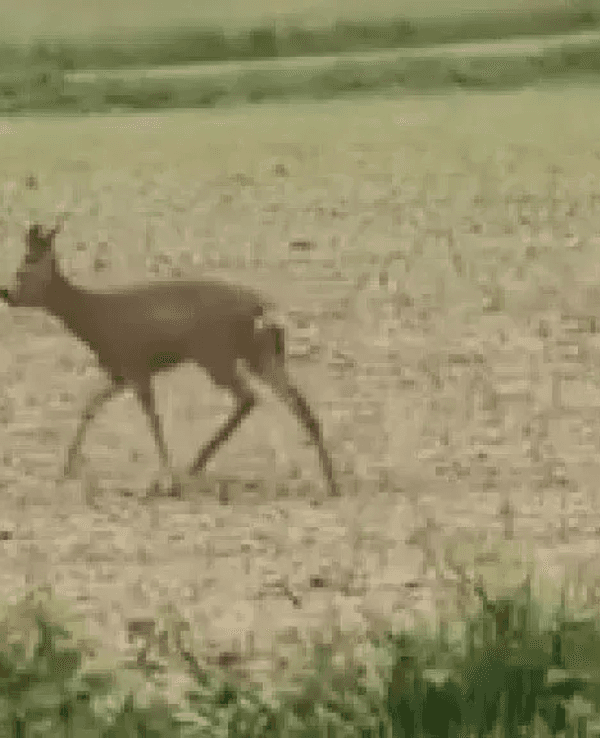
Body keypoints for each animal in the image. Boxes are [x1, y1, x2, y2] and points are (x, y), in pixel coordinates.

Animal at [0, 220, 340, 498]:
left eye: (22, 270)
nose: (7, 294)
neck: (96, 321)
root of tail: (262, 309)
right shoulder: (119, 372)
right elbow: (90, 407)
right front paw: (66, 470)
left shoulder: (136, 365)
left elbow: (153, 418)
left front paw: (167, 479)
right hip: (262, 352)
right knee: (298, 404)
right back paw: (331, 482)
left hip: (215, 353)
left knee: (249, 397)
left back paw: (196, 465)